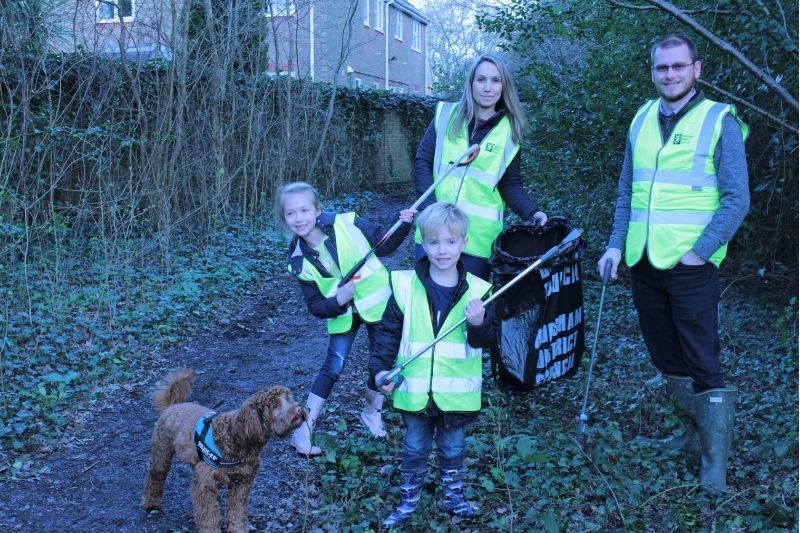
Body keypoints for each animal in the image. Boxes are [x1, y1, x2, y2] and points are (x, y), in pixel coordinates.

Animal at [142, 370, 308, 532]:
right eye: (274, 405)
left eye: (289, 398)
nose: (300, 409)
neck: (236, 436)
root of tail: (171, 406)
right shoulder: (205, 484)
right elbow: (208, 517)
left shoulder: (242, 483)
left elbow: (237, 514)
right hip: (161, 452)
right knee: (156, 476)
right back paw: (151, 503)